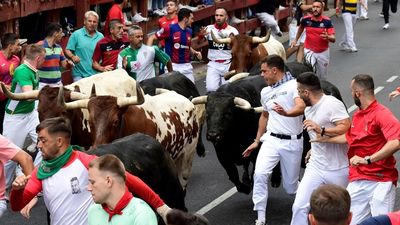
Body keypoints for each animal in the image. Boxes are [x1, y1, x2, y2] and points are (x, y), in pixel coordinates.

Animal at [195, 62, 342, 194]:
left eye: (228, 113)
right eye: (207, 113)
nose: (213, 135)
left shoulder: (256, 151)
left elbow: (254, 169)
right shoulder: (222, 154)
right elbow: (233, 176)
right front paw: (245, 187)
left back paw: (276, 179)